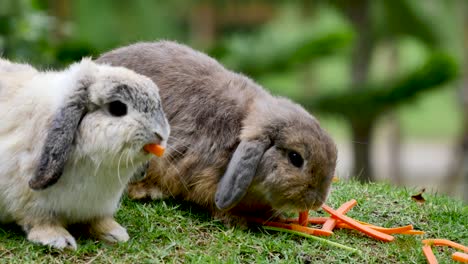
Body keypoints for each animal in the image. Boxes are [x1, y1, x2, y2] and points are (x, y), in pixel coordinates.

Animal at [0, 57, 171, 250]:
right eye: (118, 108)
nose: (160, 135)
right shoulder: (31, 201)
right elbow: (40, 221)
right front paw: (59, 240)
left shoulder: (98, 207)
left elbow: (97, 221)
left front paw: (115, 233)